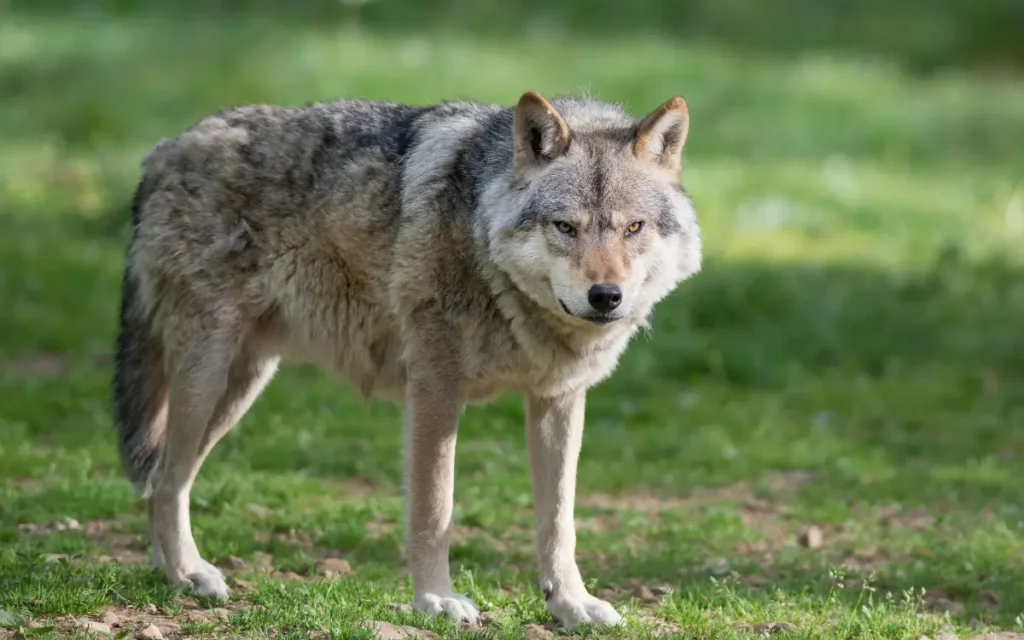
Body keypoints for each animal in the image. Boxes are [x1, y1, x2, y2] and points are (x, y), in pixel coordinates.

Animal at [112, 90, 704, 630]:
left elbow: (559, 521)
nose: (606, 296)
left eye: (633, 228)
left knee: (164, 479)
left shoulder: (557, 399)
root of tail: (165, 150)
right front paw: (436, 601)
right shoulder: (435, 388)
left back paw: (172, 573)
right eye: (566, 227)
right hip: (208, 378)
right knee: (165, 480)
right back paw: (188, 573)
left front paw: (571, 605)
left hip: (240, 386)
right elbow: (434, 510)